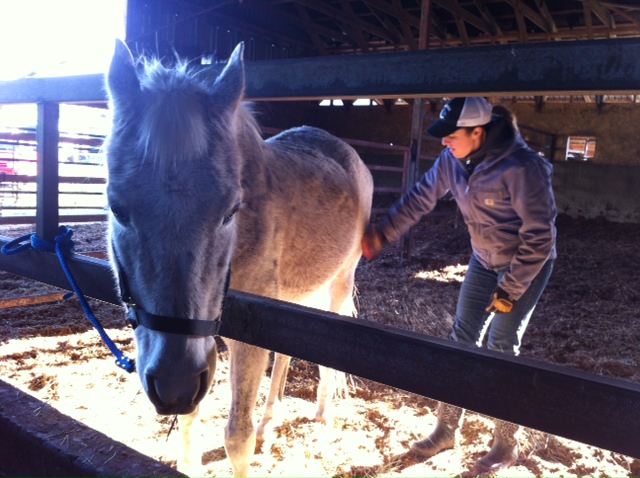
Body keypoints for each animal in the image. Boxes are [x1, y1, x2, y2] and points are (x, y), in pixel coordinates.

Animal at [105, 40, 373, 477]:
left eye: (231, 210)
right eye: (117, 207)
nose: (174, 384)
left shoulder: (244, 343)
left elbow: (236, 437)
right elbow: (192, 424)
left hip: (340, 281)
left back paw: (322, 413)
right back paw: (270, 423)